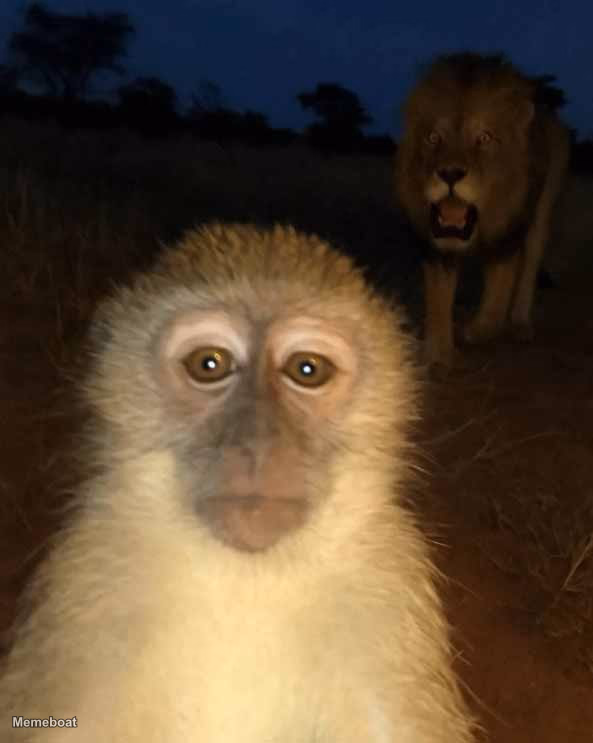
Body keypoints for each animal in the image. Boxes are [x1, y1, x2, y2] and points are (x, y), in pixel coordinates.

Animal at [0, 223, 476, 742]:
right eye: (209, 364)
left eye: (307, 370)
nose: (258, 443)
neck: (246, 578)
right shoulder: (86, 587)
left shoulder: (389, 588)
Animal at [395, 52, 570, 368]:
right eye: (433, 138)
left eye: (484, 138)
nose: (450, 173)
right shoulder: (436, 245)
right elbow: (438, 299)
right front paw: (437, 354)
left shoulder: (508, 236)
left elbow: (498, 299)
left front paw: (475, 331)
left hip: (542, 212)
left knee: (529, 266)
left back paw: (520, 323)